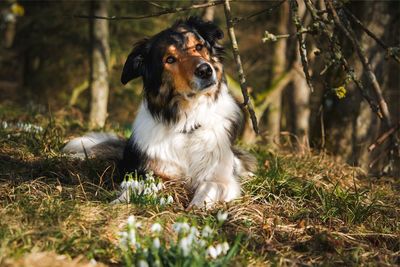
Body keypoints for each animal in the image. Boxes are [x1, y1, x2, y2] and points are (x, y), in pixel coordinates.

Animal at [63, 16, 255, 209]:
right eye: (169, 59)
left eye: (199, 46)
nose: (205, 70)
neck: (187, 123)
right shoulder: (151, 172)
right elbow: (137, 187)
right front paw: (120, 202)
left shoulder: (221, 178)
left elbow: (209, 188)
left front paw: (196, 207)